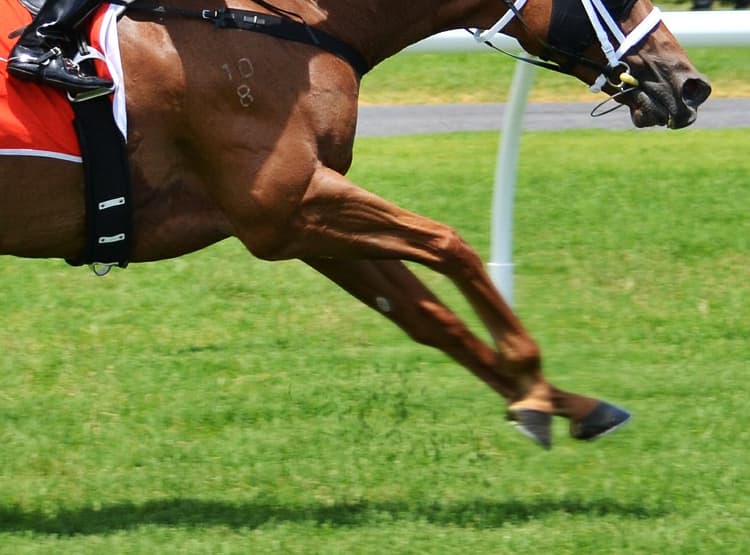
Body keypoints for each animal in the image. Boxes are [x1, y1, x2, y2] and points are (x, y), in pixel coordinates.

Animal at [0, 0, 711, 449]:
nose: (690, 83)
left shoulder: (307, 222)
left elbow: (430, 317)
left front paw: (563, 404)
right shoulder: (283, 205)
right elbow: (451, 245)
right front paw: (532, 385)